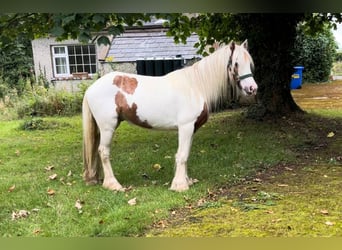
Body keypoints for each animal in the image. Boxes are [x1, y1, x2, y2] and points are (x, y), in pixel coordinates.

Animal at [83, 39, 256, 191]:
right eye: (236, 64)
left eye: (249, 64)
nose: (252, 88)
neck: (195, 86)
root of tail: (91, 88)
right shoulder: (185, 127)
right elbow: (182, 155)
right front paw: (179, 185)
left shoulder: (191, 129)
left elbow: (186, 154)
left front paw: (186, 181)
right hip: (108, 127)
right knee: (103, 152)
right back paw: (113, 184)